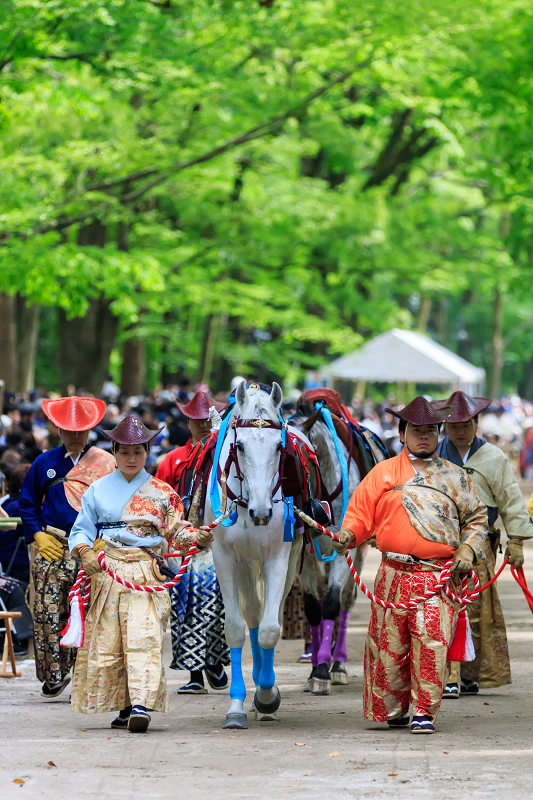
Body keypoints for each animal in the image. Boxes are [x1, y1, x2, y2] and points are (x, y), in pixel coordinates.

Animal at [205, 382, 302, 732]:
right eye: (241, 446)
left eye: (278, 447)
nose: (262, 514)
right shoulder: (223, 556)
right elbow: (235, 628)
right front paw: (236, 706)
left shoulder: (279, 555)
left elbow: (271, 630)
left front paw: (267, 695)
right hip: (244, 561)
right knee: (252, 613)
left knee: (266, 616)